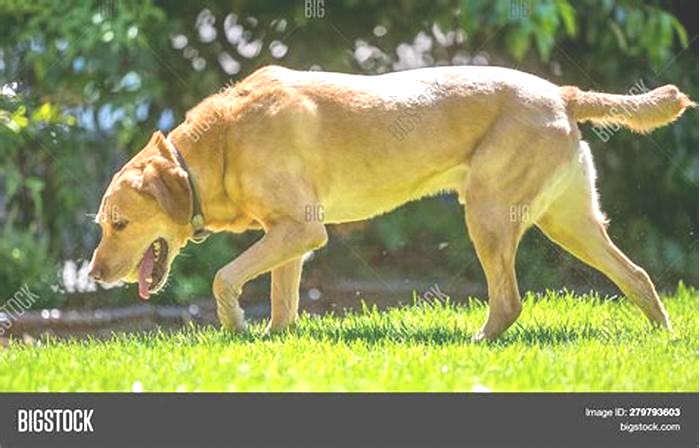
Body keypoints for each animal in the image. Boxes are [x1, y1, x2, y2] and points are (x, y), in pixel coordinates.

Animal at [85, 65, 692, 340]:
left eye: (119, 224)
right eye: (104, 224)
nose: (91, 276)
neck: (218, 147)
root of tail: (562, 93)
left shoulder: (301, 231)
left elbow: (223, 277)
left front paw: (235, 325)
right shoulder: (290, 237)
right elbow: (281, 299)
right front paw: (276, 340)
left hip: (489, 214)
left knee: (510, 301)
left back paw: (475, 344)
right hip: (571, 223)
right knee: (637, 275)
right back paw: (663, 335)